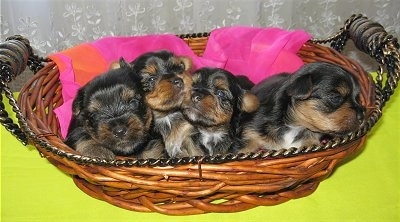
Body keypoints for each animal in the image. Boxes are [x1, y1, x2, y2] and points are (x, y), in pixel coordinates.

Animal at [234, 61, 366, 153]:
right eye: (336, 97)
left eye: (357, 98)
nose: (362, 116)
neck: (295, 126)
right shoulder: (249, 134)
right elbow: (243, 149)